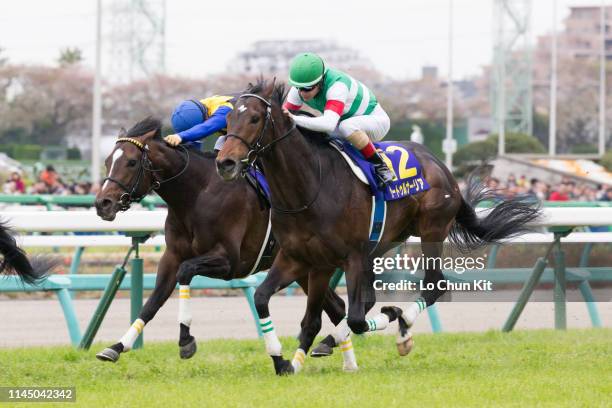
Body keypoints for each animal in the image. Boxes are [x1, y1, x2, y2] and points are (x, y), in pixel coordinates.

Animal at [94, 117, 356, 366]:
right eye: (107, 161)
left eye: (131, 162)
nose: (102, 203)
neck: (197, 194)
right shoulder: (172, 256)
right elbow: (153, 301)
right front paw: (117, 346)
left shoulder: (228, 260)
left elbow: (185, 271)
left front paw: (185, 340)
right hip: (301, 265)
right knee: (337, 306)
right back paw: (338, 353)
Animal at [216, 79, 540, 376]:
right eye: (228, 120)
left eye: (255, 118)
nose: (225, 163)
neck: (309, 189)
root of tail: (443, 168)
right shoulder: (303, 259)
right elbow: (277, 305)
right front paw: (285, 361)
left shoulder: (350, 257)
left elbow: (355, 318)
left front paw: (388, 318)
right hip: (384, 241)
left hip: (431, 230)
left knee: (433, 285)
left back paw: (402, 326)